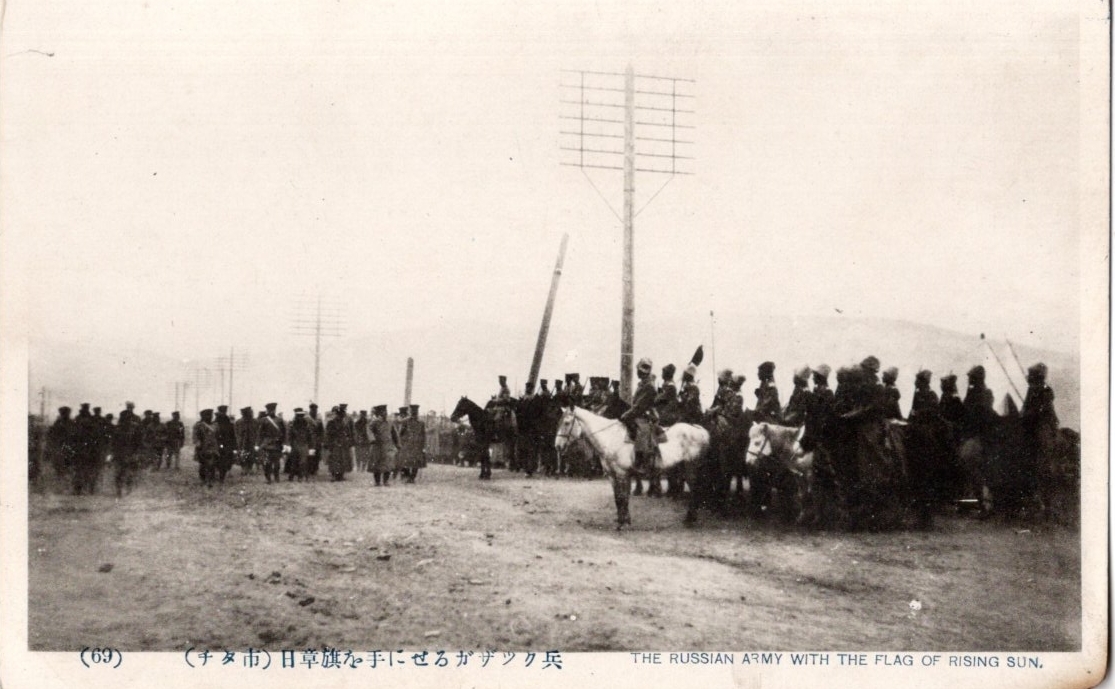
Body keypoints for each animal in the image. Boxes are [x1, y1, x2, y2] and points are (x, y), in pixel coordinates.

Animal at [555, 401, 709, 526]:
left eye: (567, 423)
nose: (557, 446)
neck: (610, 437)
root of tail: (699, 430)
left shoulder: (622, 473)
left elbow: (623, 497)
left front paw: (623, 523)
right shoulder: (612, 475)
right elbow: (618, 498)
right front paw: (623, 519)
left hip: (691, 467)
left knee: (695, 490)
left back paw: (690, 519)